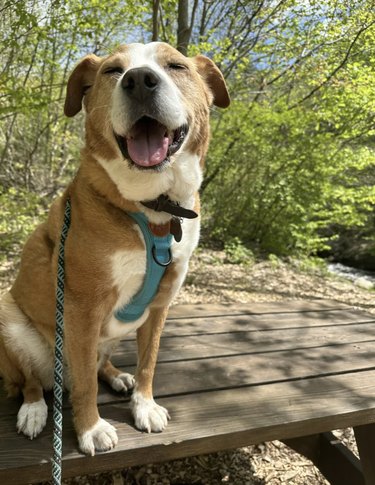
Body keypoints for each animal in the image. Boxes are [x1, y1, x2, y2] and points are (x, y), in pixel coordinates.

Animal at [0, 41, 229, 454]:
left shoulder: (160, 305)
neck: (154, 208)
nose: (139, 80)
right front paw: (90, 429)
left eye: (176, 66)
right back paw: (34, 410)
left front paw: (144, 404)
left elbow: (148, 362)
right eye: (112, 71)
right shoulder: (82, 308)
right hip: (8, 317)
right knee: (31, 380)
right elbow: (85, 386)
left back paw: (118, 375)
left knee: (97, 364)